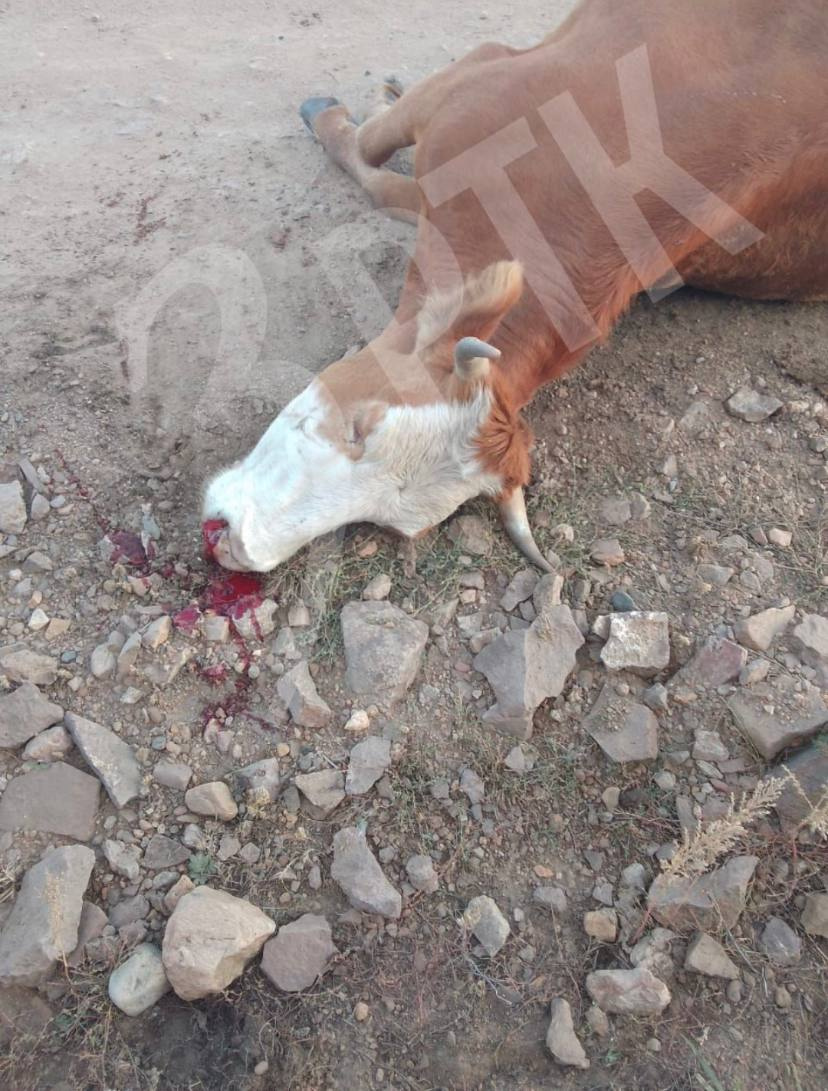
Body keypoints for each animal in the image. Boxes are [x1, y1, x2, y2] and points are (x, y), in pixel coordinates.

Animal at [203, 0, 828, 573]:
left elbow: (380, 180)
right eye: (359, 427)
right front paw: (334, 111)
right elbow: (370, 150)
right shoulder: (475, 75)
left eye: (388, 524)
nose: (235, 547)